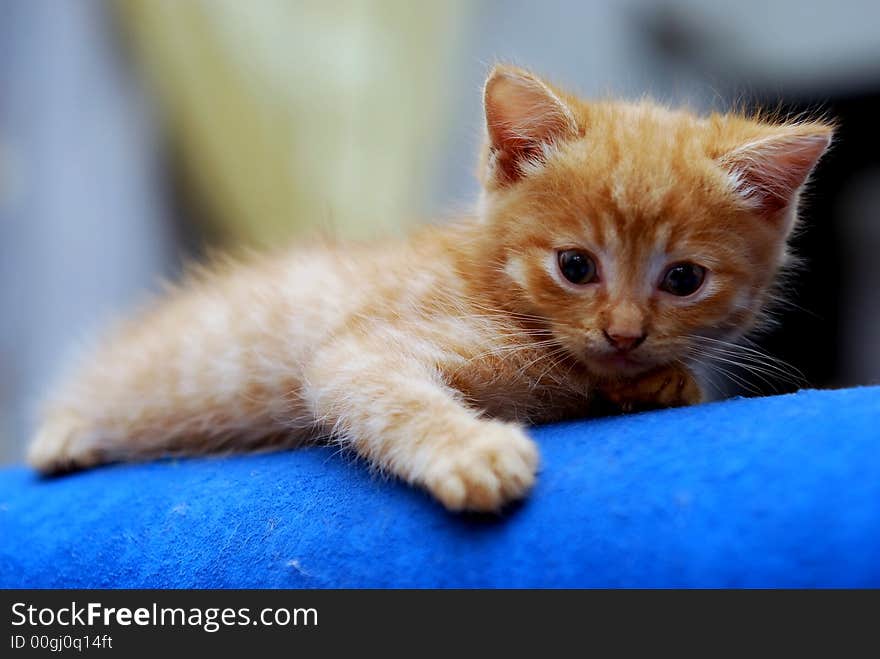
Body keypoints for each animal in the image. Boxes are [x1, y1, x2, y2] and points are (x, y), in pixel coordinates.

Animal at [27, 65, 832, 510]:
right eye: (575, 267)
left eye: (684, 278)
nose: (624, 332)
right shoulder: (360, 351)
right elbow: (387, 394)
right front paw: (472, 452)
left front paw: (663, 380)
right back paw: (64, 436)